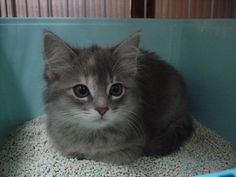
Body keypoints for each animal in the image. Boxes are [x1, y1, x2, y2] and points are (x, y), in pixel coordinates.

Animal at [42, 30, 194, 165]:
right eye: (81, 90)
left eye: (116, 90)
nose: (102, 109)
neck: (92, 135)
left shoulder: (132, 148)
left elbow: (101, 156)